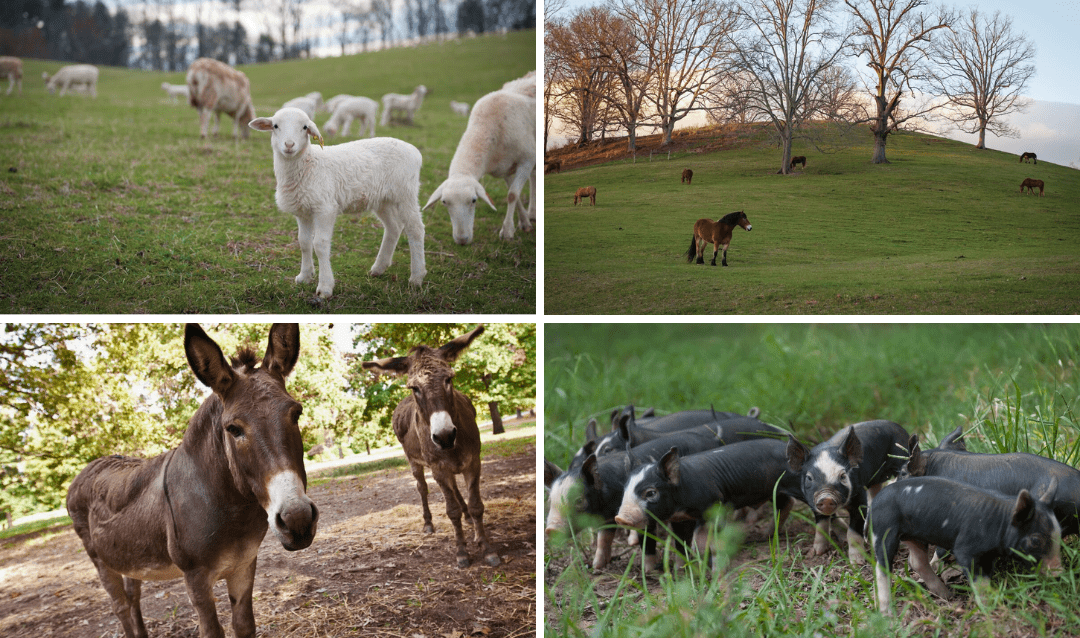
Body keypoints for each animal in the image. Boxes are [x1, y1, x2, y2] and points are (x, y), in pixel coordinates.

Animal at [66, 323, 315, 638]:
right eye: (233, 429)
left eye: (296, 413)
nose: (298, 520)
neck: (231, 507)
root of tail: (90, 466)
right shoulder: (195, 577)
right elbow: (212, 631)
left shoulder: (244, 565)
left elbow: (244, 626)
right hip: (99, 559)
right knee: (120, 606)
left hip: (126, 556)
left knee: (133, 599)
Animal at [248, 108, 425, 297]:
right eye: (275, 126)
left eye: (304, 127)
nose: (289, 145)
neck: (308, 164)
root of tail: (414, 150)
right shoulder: (303, 210)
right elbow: (303, 242)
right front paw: (304, 276)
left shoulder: (325, 208)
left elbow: (319, 244)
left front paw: (325, 287)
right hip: (383, 199)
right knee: (394, 227)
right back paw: (379, 268)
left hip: (405, 192)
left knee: (415, 229)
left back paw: (417, 277)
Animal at [360, 326, 498, 565]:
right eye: (414, 388)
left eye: (449, 379)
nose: (444, 436)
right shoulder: (437, 467)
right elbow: (451, 511)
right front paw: (461, 552)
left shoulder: (473, 462)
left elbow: (476, 505)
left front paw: (486, 548)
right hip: (414, 462)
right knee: (422, 488)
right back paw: (428, 523)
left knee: (454, 489)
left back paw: (466, 517)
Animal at [423, 86, 537, 242]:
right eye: (444, 202)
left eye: (474, 200)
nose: (462, 240)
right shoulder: (505, 167)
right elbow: (515, 195)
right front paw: (524, 223)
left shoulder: (527, 159)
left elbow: (512, 194)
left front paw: (507, 231)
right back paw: (532, 214)